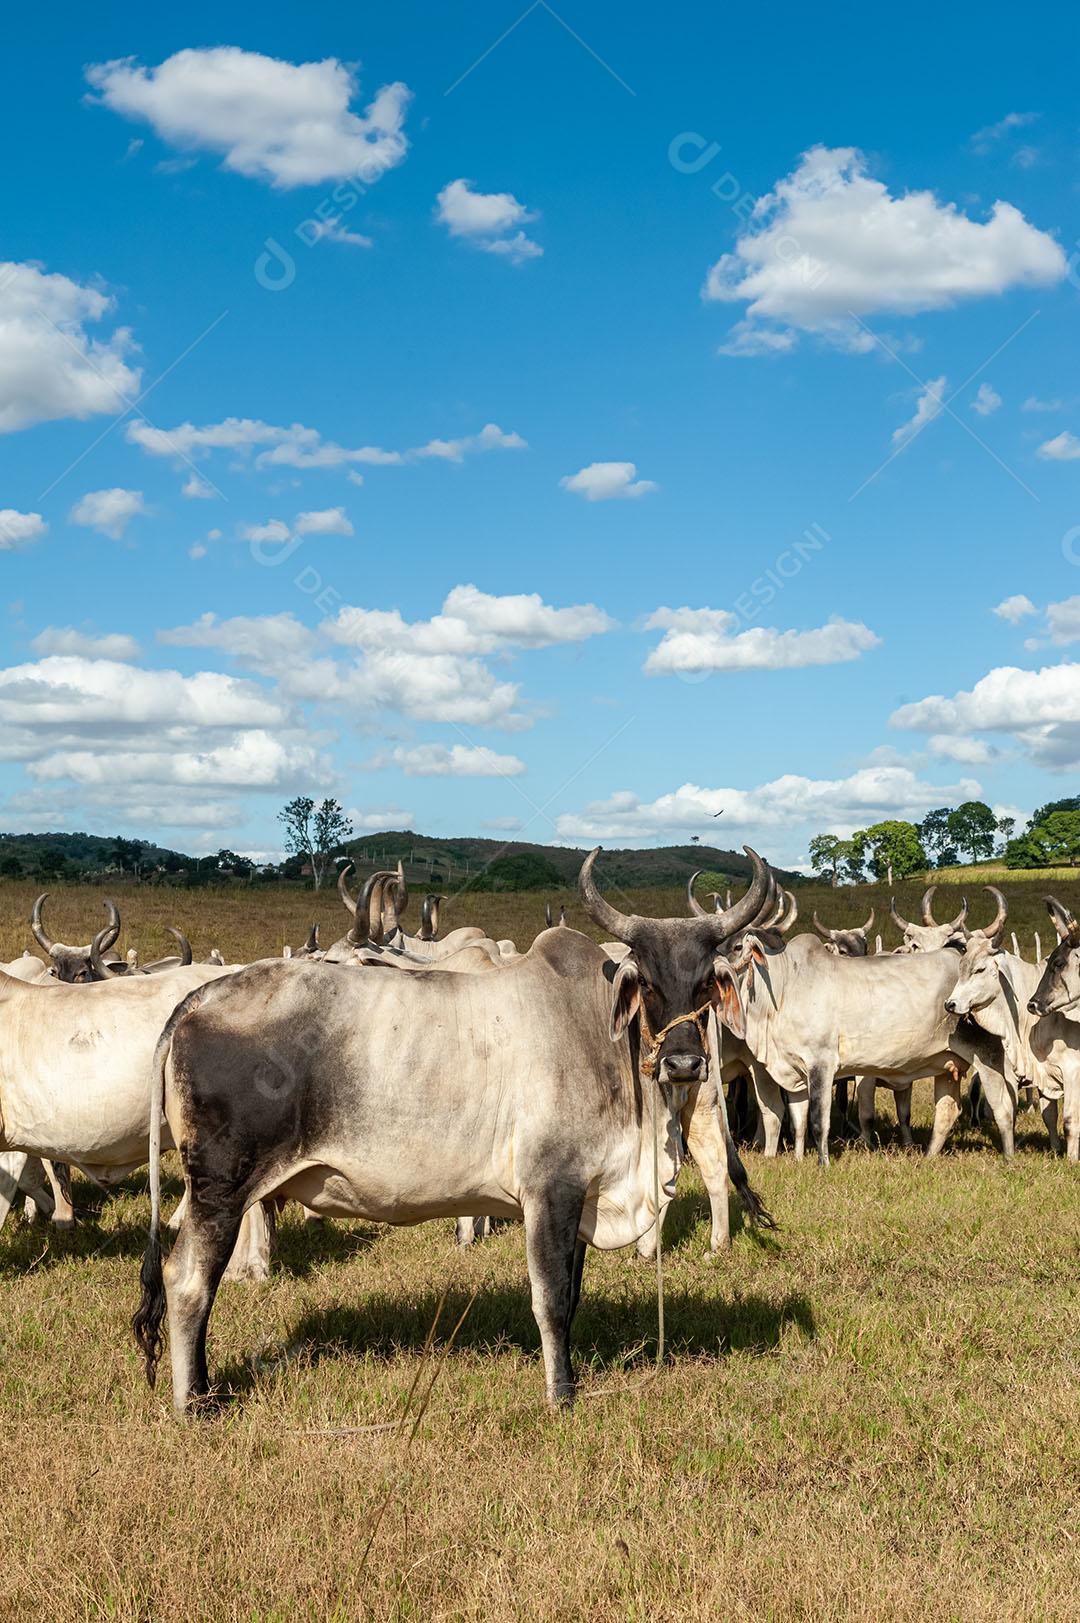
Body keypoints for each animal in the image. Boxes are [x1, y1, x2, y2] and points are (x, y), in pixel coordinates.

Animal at [134, 850, 776, 1408]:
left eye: (705, 982)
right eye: (647, 982)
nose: (684, 1064)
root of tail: (198, 999)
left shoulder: (582, 1195)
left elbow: (572, 1294)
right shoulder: (551, 1189)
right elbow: (551, 1299)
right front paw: (560, 1396)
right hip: (219, 1189)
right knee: (187, 1283)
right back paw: (195, 1403)